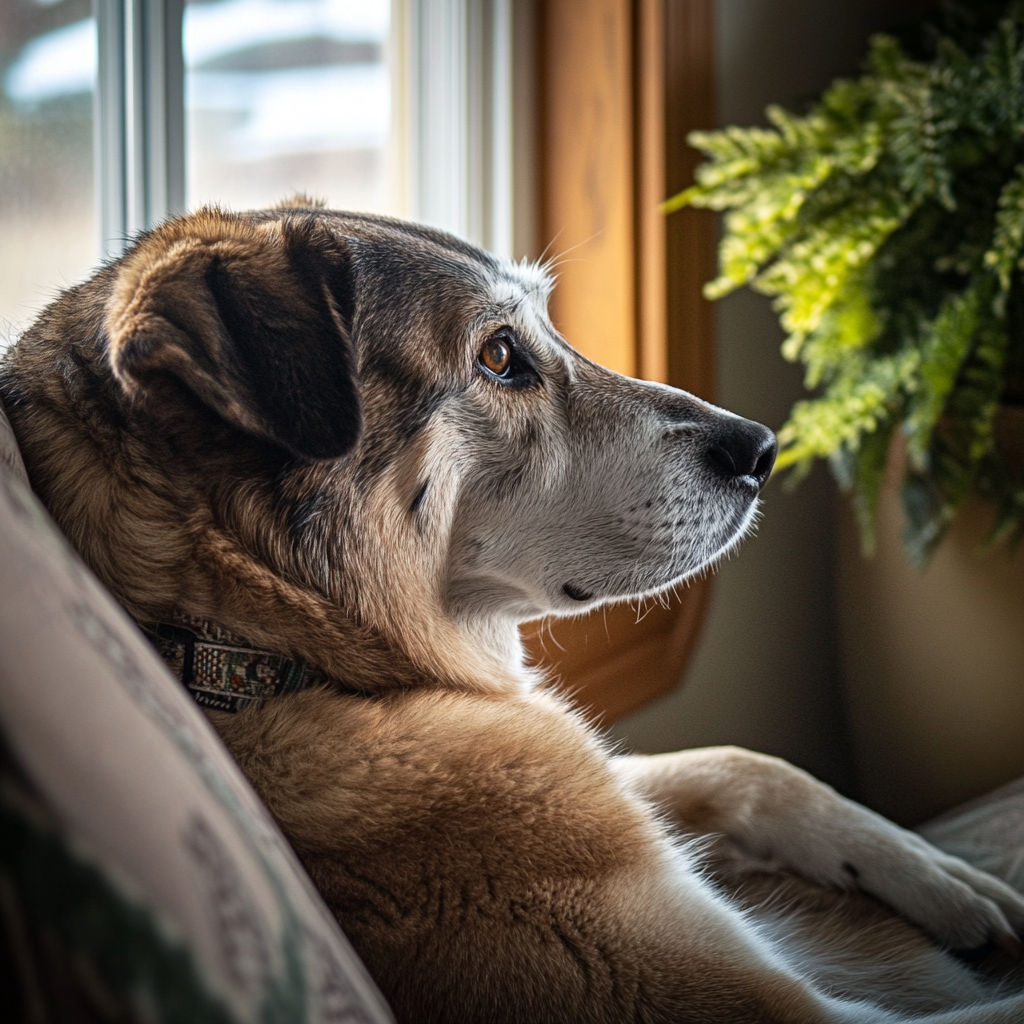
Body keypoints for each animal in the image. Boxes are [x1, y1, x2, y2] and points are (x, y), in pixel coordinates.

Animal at [2, 201, 1024, 1024]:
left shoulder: (617, 787)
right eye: (500, 357)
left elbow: (746, 765)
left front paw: (943, 877)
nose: (764, 448)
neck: (259, 658)